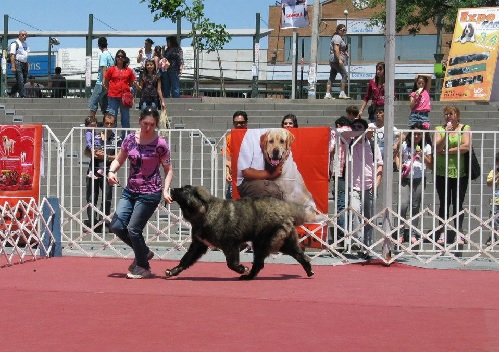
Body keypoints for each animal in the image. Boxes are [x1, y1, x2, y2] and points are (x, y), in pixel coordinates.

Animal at [168, 184, 316, 280]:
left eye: (185, 190)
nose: (171, 189)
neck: (204, 212)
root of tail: (286, 207)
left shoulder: (231, 243)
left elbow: (231, 263)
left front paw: (241, 268)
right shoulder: (198, 245)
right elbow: (185, 260)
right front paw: (173, 271)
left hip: (264, 243)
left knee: (259, 263)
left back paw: (247, 275)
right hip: (284, 243)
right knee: (300, 256)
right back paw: (309, 271)